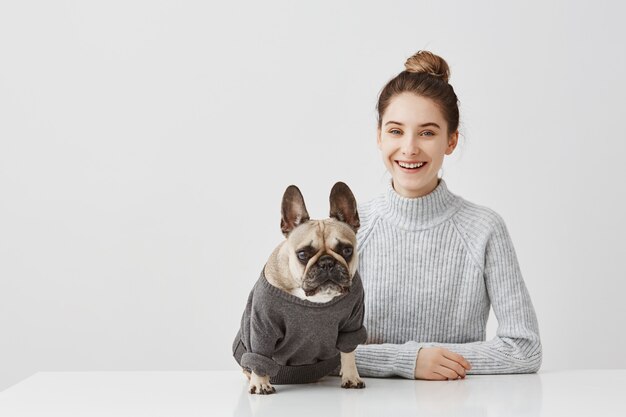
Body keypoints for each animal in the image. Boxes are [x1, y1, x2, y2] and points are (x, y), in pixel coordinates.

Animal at [230, 181, 366, 394]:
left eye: (347, 250)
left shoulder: (352, 322)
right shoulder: (263, 326)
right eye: (302, 254)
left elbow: (348, 351)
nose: (327, 263)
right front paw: (260, 384)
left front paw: (351, 377)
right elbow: (260, 354)